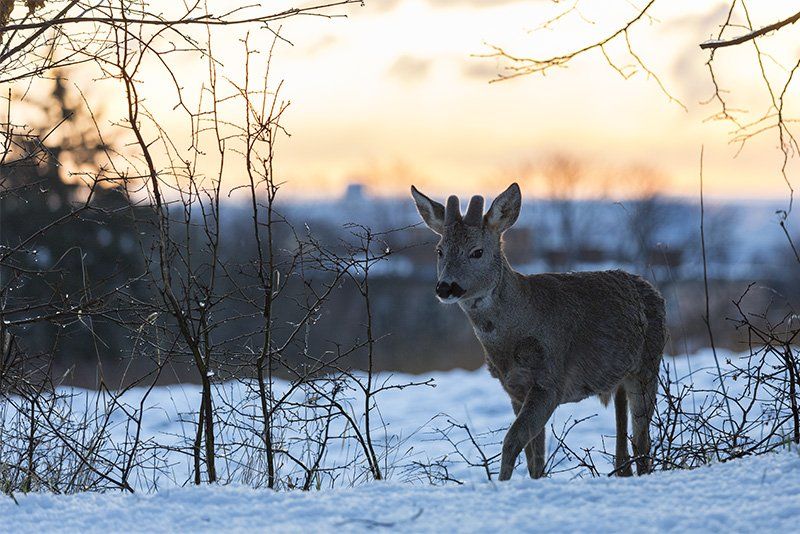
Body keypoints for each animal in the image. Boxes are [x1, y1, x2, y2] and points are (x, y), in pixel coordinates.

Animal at [411, 183, 666, 480]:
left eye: (477, 251)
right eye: (439, 250)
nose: (445, 287)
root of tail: (653, 291)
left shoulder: (550, 381)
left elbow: (512, 441)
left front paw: (503, 483)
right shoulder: (513, 389)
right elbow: (534, 457)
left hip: (647, 367)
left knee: (642, 441)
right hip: (619, 379)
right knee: (624, 447)